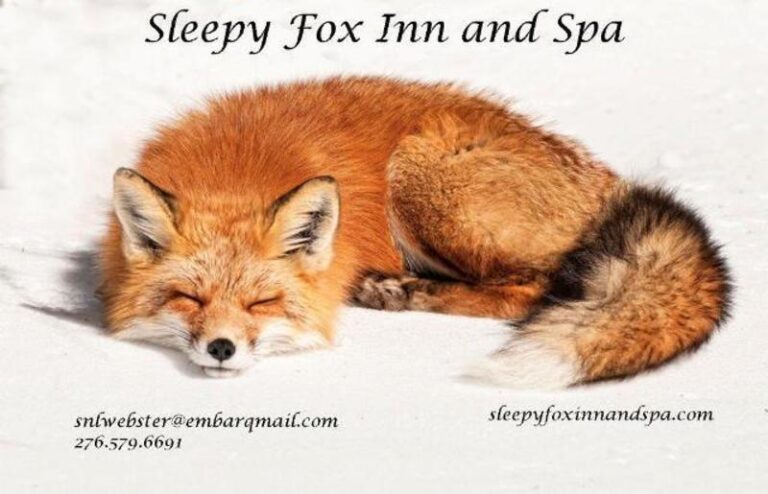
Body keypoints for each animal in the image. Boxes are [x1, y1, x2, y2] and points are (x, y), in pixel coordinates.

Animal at [99, 76, 731, 387]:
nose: (222, 349)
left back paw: (404, 291)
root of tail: (608, 182)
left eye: (263, 302)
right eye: (189, 297)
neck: (235, 173)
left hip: (419, 177)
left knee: (530, 289)